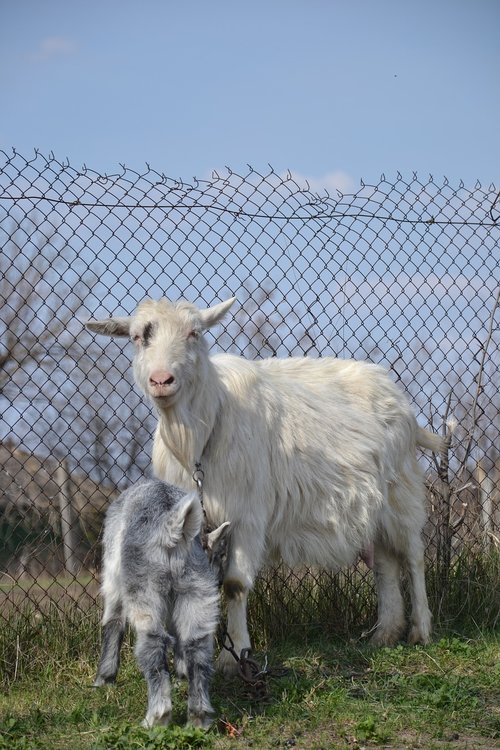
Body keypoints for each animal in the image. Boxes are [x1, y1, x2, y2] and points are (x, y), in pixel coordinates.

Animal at [86, 298, 442, 676]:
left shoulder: (247, 515)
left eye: (194, 333)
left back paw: (420, 629)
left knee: (413, 555)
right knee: (385, 561)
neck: (200, 437)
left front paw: (235, 655)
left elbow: (234, 585)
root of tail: (398, 397)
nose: (161, 380)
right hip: (374, 505)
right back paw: (385, 633)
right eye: (138, 337)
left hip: (401, 490)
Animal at [93, 478, 229, 732]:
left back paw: (157, 716)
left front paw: (104, 679)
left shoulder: (114, 581)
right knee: (197, 646)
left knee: (153, 642)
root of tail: (172, 528)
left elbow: (113, 623)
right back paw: (198, 717)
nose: (220, 581)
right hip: (195, 590)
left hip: (144, 592)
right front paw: (181, 674)